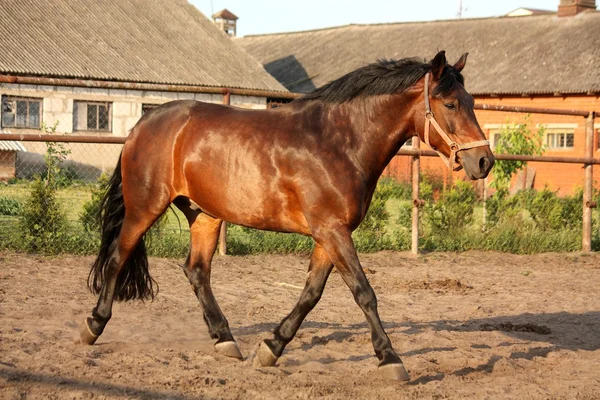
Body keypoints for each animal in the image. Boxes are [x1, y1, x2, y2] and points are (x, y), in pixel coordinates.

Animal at [79, 50, 492, 382]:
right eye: (450, 104)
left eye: (472, 100)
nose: (484, 161)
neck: (338, 141)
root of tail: (143, 124)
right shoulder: (332, 230)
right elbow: (364, 293)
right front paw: (391, 360)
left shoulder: (329, 234)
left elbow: (311, 294)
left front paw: (271, 348)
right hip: (145, 207)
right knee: (117, 258)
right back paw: (93, 326)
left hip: (205, 215)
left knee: (196, 271)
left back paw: (225, 340)